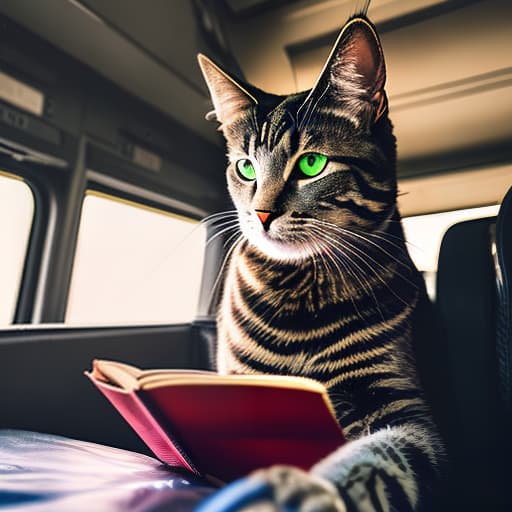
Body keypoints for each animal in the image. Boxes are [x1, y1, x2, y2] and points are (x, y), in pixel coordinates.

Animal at [198, 12, 442, 512]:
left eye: (311, 164)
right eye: (246, 167)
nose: (262, 213)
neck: (300, 289)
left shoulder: (401, 403)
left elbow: (381, 462)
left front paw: (302, 489)